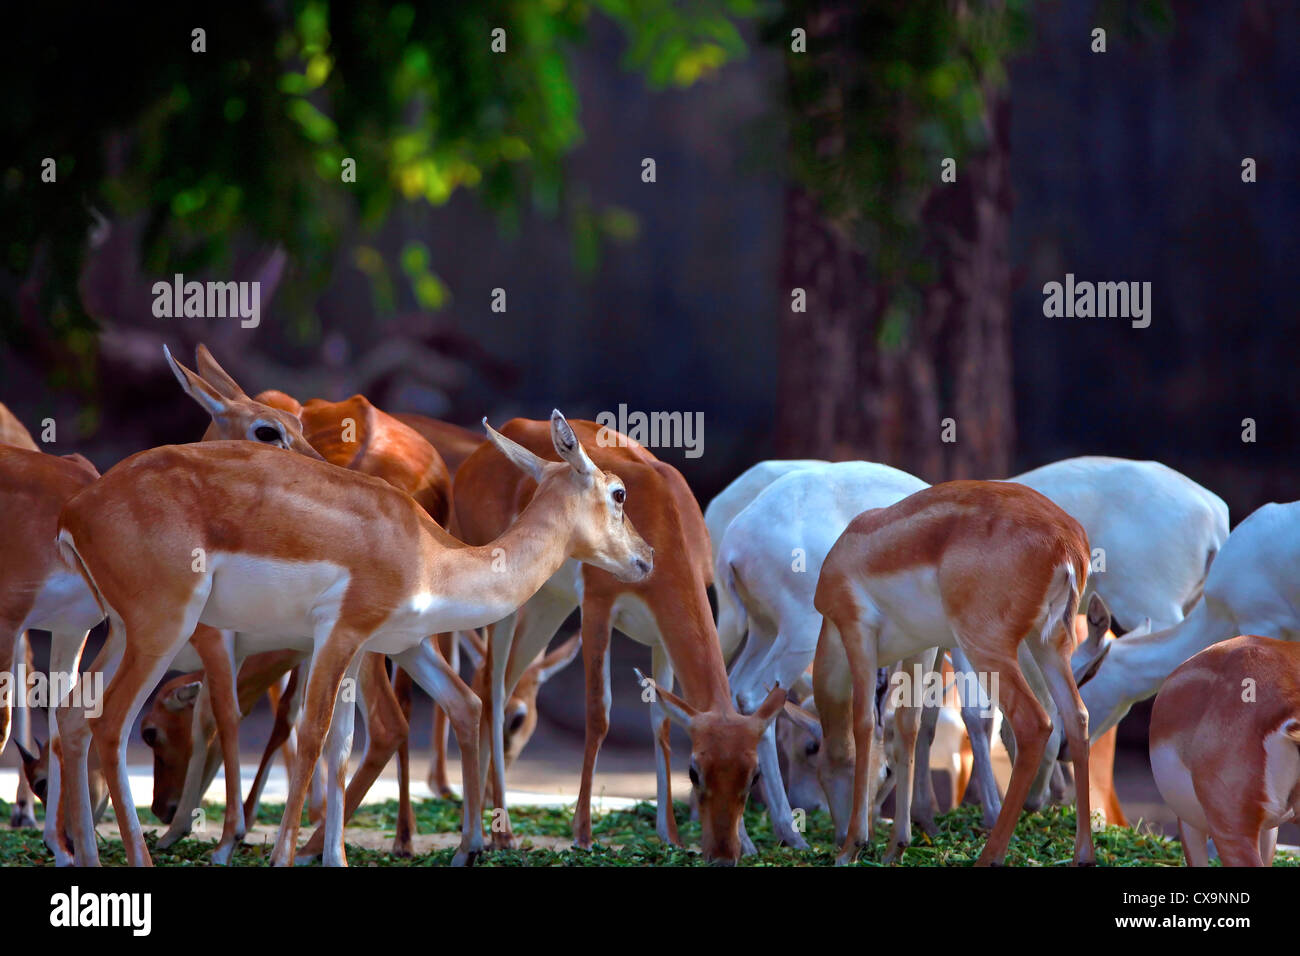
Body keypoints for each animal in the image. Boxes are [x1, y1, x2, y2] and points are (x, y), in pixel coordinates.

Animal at [55, 411, 655, 868]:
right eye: (620, 492)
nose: (647, 557)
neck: (431, 557)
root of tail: (75, 512)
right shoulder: (339, 634)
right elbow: (312, 736)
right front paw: (282, 856)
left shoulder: (388, 646)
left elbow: (357, 740)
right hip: (163, 627)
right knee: (111, 723)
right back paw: (139, 856)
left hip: (121, 630)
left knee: (71, 717)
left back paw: (80, 856)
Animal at [452, 416, 785, 863]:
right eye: (694, 770)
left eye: (753, 776)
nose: (722, 853)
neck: (666, 519)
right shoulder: (598, 608)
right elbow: (599, 713)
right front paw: (582, 833)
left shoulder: (661, 637)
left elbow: (662, 721)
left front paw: (671, 835)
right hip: (506, 605)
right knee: (493, 689)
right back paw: (500, 834)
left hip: (548, 604)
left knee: (496, 683)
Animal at [816, 481, 1092, 863]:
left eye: (822, 774)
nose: (839, 834)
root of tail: (1067, 541)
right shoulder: (922, 646)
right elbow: (908, 727)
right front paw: (896, 847)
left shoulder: (858, 633)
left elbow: (864, 724)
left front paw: (852, 847)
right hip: (1049, 645)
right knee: (1077, 717)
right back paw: (1084, 854)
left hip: (987, 649)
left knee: (1034, 724)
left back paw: (989, 855)